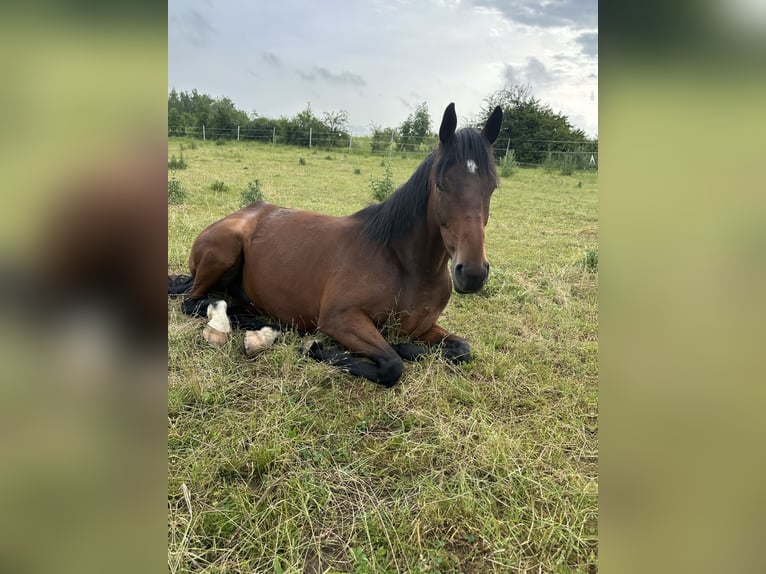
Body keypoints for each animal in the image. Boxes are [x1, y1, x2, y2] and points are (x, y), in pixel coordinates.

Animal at [169, 104, 504, 390]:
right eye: (441, 184)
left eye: (492, 187)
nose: (472, 273)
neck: (404, 266)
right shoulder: (340, 319)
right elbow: (392, 364)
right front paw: (315, 347)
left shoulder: (424, 326)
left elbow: (463, 349)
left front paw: (406, 347)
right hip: (224, 251)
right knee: (194, 301)